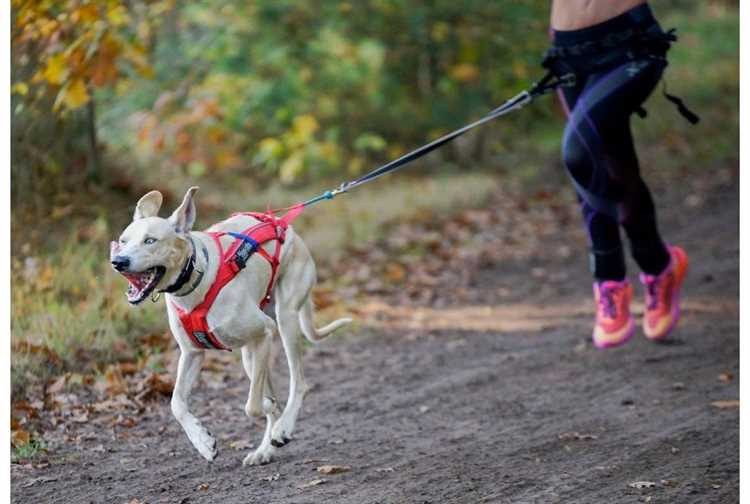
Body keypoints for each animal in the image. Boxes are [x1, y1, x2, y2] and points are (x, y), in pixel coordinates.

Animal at [110, 186, 354, 464]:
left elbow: (253, 406)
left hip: (284, 321)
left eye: (150, 240)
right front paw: (203, 442)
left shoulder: (265, 332)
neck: (196, 278)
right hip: (251, 352)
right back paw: (264, 450)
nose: (118, 261)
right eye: (123, 240)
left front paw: (268, 409)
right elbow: (176, 403)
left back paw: (283, 427)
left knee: (298, 384)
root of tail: (285, 226)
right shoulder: (192, 354)